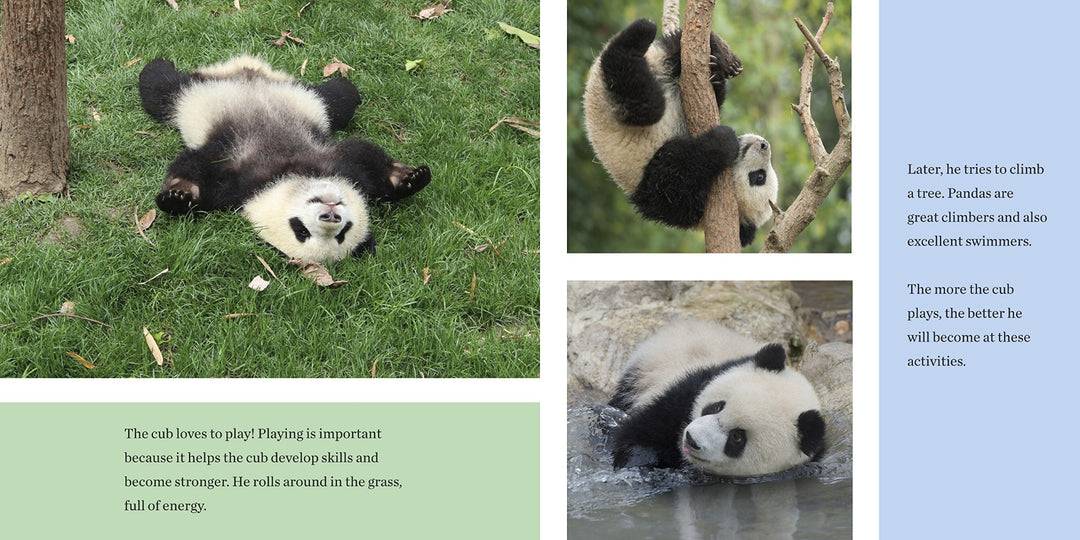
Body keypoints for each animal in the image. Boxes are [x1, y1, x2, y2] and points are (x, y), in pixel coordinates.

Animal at [138, 54, 432, 264]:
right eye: (301, 230)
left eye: (343, 233)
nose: (331, 213)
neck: (292, 171)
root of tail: (248, 70)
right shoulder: (240, 176)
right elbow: (198, 167)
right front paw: (178, 196)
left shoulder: (330, 160)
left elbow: (365, 157)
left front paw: (410, 178)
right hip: (192, 97)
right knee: (161, 91)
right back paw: (159, 64)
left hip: (308, 99)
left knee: (338, 100)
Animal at [583, 18, 778, 247]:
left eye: (759, 177)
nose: (764, 144)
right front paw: (725, 136)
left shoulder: (668, 199)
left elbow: (675, 172)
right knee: (671, 50)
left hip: (618, 99)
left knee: (641, 95)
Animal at [608, 319, 825, 478]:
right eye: (716, 407)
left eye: (737, 437)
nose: (691, 439)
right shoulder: (687, 391)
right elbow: (642, 432)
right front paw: (637, 464)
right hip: (645, 371)